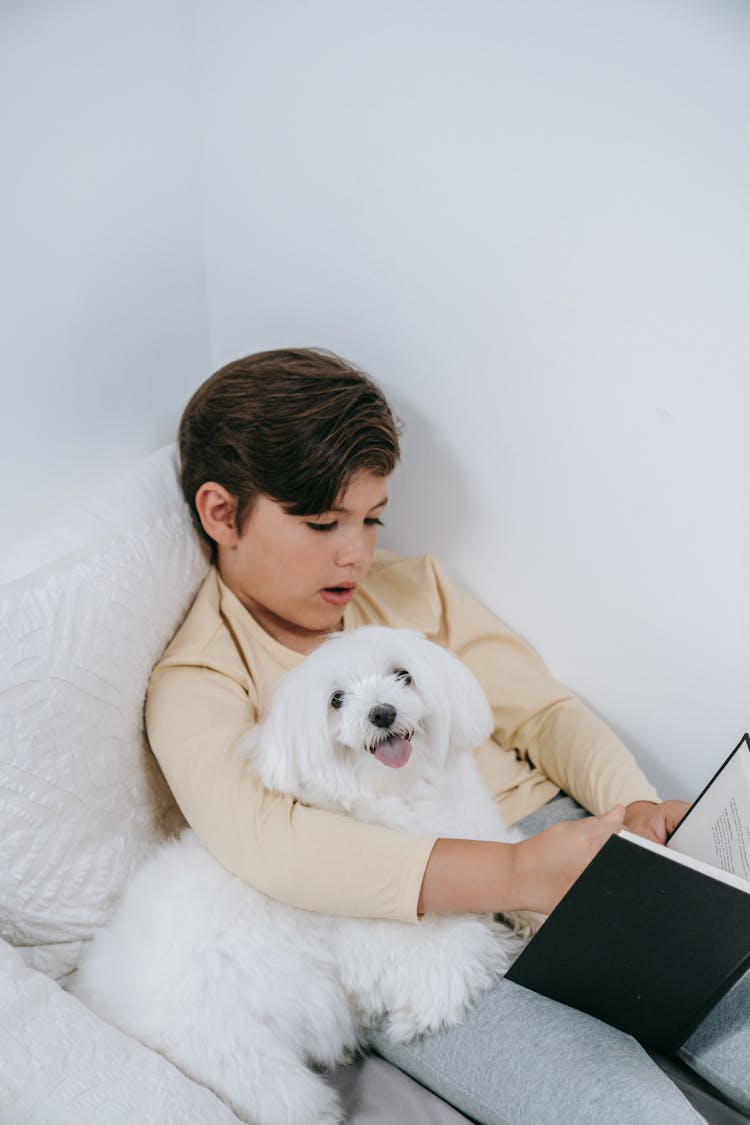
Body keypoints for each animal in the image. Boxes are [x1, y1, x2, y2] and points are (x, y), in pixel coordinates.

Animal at [70, 630, 528, 1125]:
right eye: (337, 700)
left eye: (403, 675)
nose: (382, 713)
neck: (398, 797)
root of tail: (101, 995)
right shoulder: (390, 943)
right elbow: (464, 951)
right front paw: (419, 1013)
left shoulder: (480, 835)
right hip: (242, 1056)